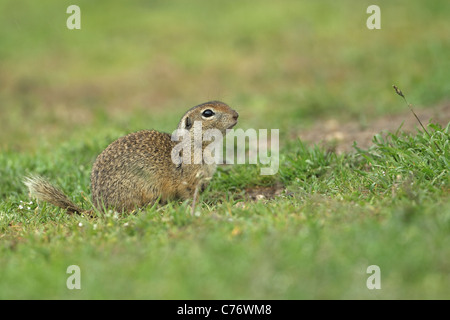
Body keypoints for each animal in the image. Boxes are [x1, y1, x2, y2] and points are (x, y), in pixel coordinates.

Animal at [23, 101, 239, 214]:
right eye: (208, 113)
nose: (236, 114)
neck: (196, 145)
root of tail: (99, 208)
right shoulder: (188, 179)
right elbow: (189, 194)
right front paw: (201, 206)